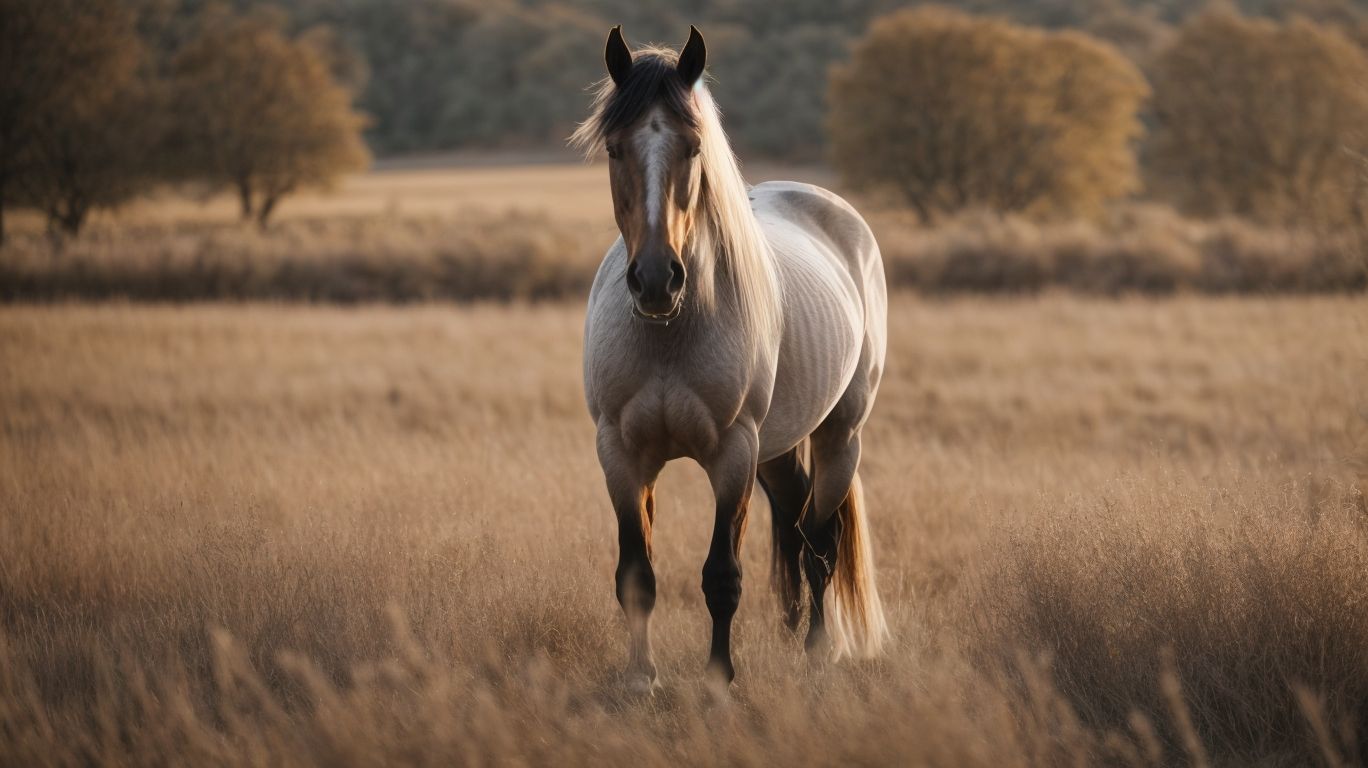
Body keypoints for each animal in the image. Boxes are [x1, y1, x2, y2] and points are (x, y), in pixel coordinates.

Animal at [573, 25, 889, 691]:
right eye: (614, 149)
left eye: (694, 147)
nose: (656, 281)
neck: (669, 335)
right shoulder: (620, 454)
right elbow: (635, 573)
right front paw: (640, 676)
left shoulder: (732, 455)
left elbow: (722, 575)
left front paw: (720, 677)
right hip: (777, 448)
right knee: (794, 524)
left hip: (838, 435)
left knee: (820, 543)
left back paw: (818, 651)